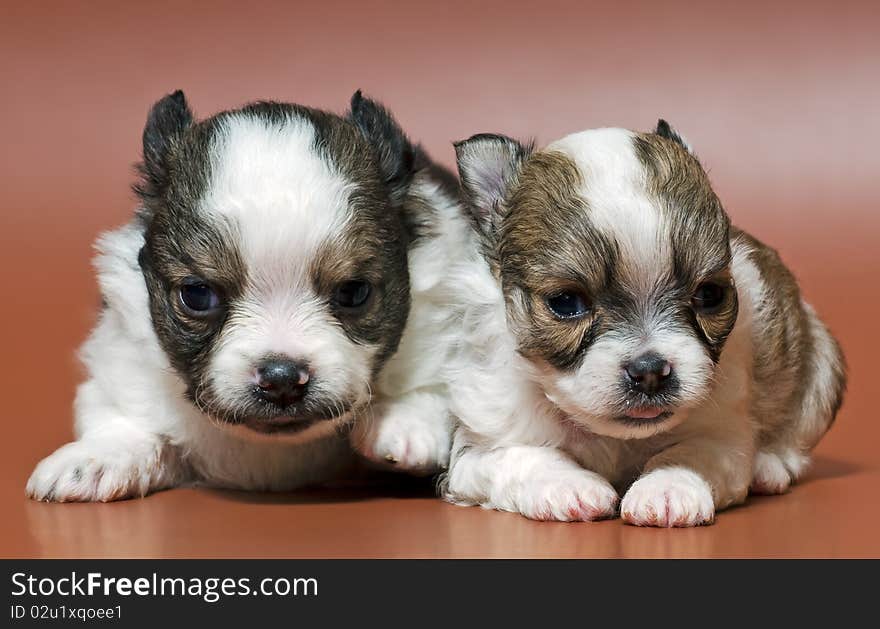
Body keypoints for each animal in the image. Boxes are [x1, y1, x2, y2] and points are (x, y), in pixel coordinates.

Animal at [444, 122, 848, 524]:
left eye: (709, 295)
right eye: (566, 303)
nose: (651, 371)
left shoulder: (722, 437)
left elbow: (689, 452)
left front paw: (667, 487)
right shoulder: (477, 452)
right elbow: (523, 455)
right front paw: (565, 484)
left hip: (820, 364)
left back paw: (769, 466)